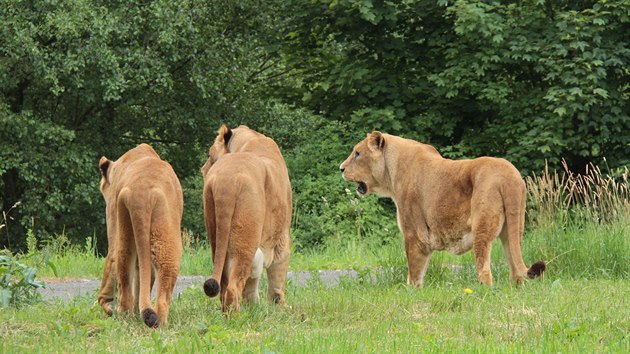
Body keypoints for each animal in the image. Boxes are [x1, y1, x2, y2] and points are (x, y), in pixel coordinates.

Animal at [97, 142, 184, 328]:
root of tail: (140, 192)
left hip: (125, 230)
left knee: (123, 277)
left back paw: (126, 317)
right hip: (165, 237)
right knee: (162, 293)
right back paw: (159, 322)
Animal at [202, 125, 294, 312]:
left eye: (209, 154)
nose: (202, 169)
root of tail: (226, 181)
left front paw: (253, 307)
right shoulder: (281, 238)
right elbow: (277, 278)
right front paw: (280, 307)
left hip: (216, 236)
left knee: (224, 284)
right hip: (245, 240)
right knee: (233, 286)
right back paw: (236, 316)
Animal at [340, 133, 548, 288]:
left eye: (357, 153)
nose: (341, 168)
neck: (391, 170)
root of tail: (509, 175)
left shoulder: (414, 234)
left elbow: (414, 271)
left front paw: (411, 292)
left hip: (482, 228)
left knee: (485, 271)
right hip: (512, 228)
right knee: (515, 269)